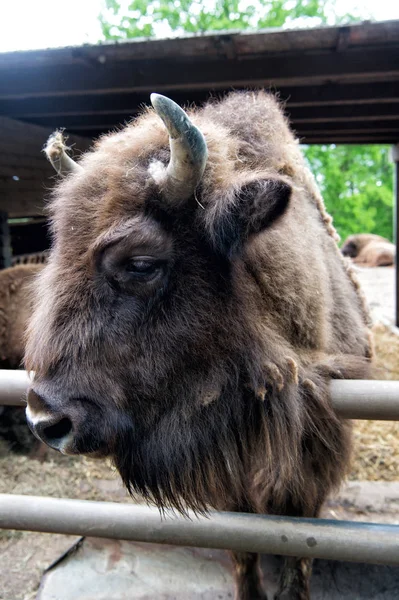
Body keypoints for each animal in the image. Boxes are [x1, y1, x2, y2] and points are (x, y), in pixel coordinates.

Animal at [26, 90, 374, 600]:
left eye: (141, 262)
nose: (45, 421)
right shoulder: (228, 481)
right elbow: (243, 550)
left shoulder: (307, 471)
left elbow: (297, 553)